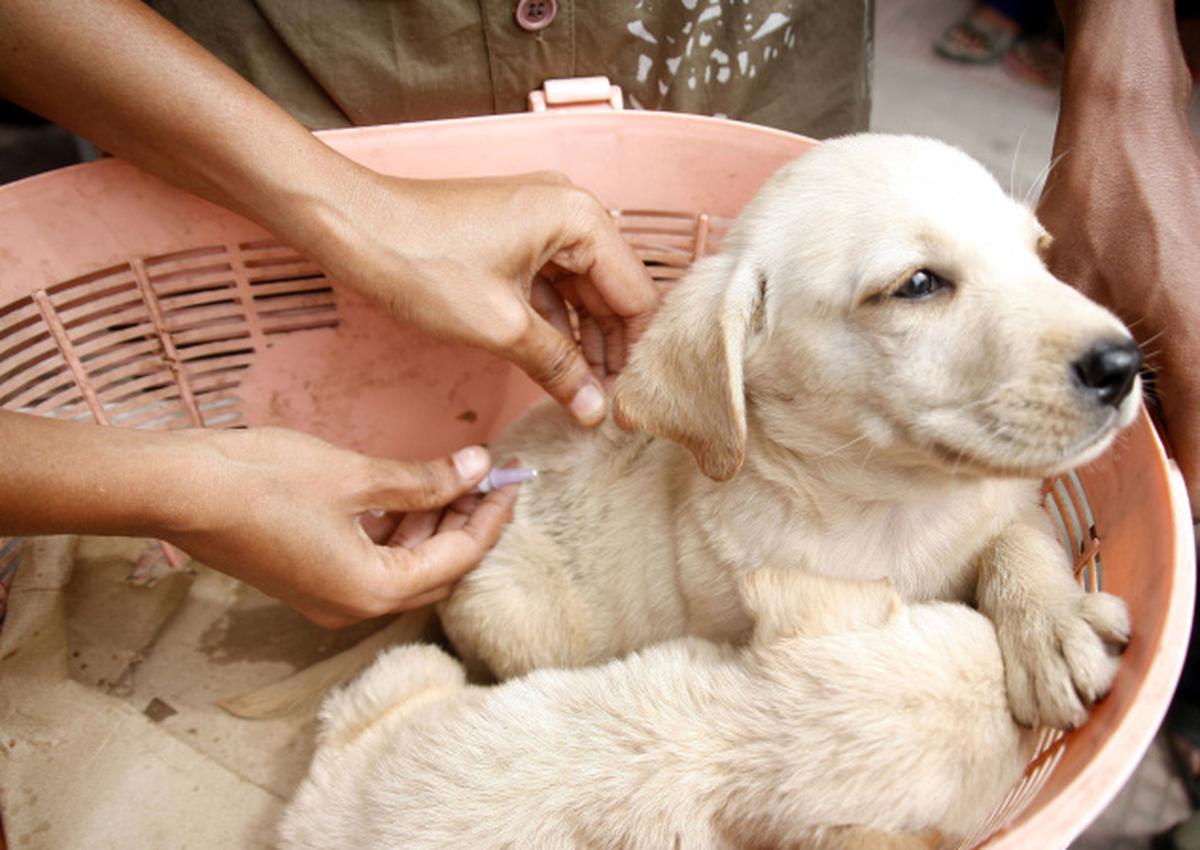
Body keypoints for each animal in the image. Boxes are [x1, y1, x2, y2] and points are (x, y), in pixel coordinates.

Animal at [441, 134, 1132, 729]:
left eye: (1039, 253)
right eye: (917, 284)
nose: (1123, 365)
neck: (892, 509)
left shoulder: (1015, 501)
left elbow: (1017, 543)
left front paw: (1054, 625)